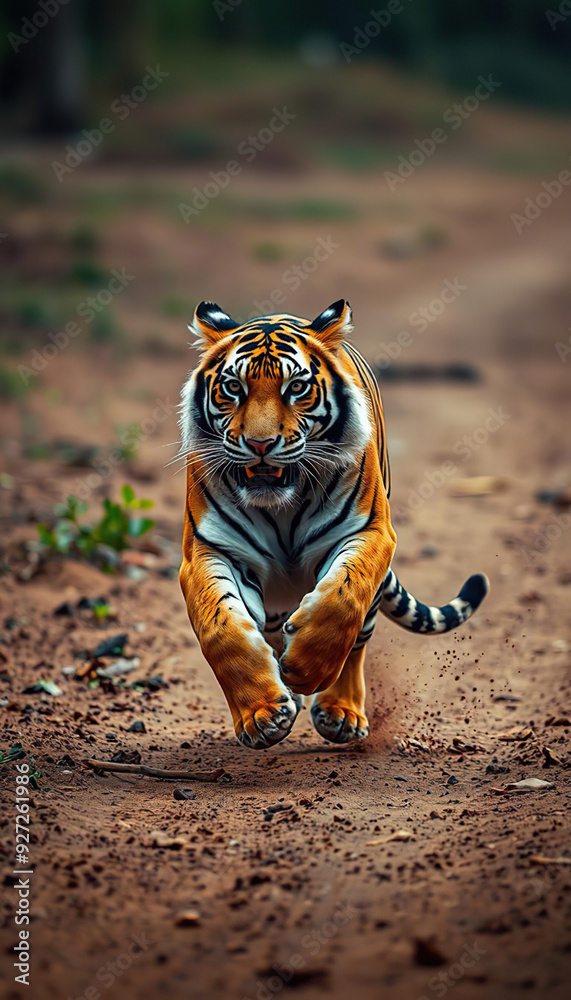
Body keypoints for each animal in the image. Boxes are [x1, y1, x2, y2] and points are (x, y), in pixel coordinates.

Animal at [178, 299, 488, 750]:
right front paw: (262, 714)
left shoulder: (368, 533)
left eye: (296, 388)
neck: (280, 507)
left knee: (358, 635)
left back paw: (340, 711)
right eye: (233, 387)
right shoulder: (210, 550)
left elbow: (343, 599)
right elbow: (222, 628)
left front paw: (306, 668)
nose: (259, 444)